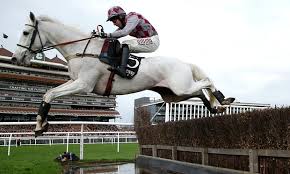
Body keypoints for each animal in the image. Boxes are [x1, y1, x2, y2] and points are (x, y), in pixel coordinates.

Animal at [11, 12, 236, 137]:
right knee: (199, 92)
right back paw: (216, 107)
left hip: (180, 87)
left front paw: (39, 126)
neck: (82, 49)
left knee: (206, 81)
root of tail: (184, 63)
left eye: (25, 33)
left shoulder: (84, 84)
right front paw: (41, 125)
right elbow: (48, 93)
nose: (15, 58)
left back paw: (223, 99)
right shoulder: (75, 81)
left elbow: (50, 94)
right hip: (174, 94)